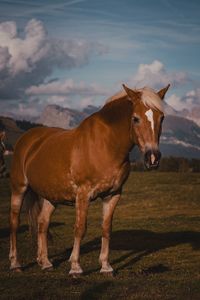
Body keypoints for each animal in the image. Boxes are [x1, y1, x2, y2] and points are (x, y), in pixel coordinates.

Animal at [8, 83, 170, 276]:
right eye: (135, 118)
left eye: (162, 118)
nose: (153, 158)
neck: (105, 145)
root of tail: (27, 139)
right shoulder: (83, 194)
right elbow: (80, 228)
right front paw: (75, 267)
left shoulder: (113, 195)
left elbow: (106, 228)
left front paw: (106, 266)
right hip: (19, 188)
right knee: (14, 223)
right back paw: (15, 263)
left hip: (51, 196)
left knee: (42, 223)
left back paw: (45, 262)